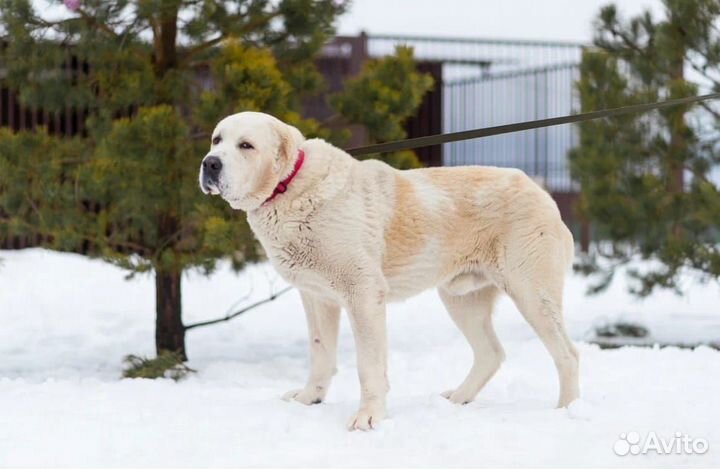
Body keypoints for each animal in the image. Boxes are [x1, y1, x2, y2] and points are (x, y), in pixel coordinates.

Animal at [198, 111, 580, 430]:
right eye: (217, 140)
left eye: (246, 145)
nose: (209, 163)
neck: (289, 187)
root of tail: (542, 193)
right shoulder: (317, 297)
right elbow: (320, 353)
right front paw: (310, 399)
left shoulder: (363, 293)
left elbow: (368, 365)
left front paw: (369, 416)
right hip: (461, 299)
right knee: (491, 354)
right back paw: (459, 399)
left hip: (532, 293)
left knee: (567, 354)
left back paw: (567, 411)